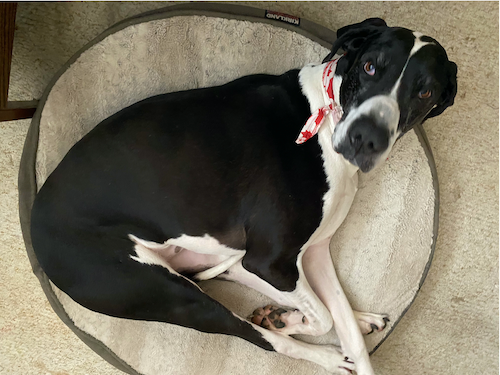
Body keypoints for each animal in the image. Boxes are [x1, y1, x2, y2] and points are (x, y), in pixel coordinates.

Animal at [29, 18, 456, 375]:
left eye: (425, 91)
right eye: (370, 67)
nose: (366, 138)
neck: (324, 113)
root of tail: (34, 227)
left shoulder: (313, 253)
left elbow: (342, 323)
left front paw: (331, 324)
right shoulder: (272, 259)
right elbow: (322, 317)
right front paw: (293, 323)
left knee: (235, 275)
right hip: (169, 293)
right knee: (255, 332)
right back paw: (319, 351)